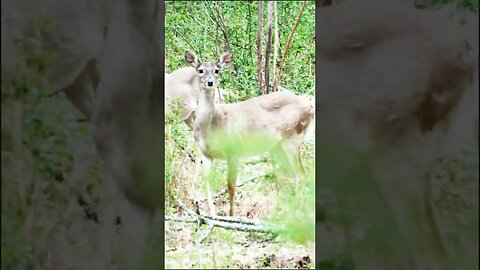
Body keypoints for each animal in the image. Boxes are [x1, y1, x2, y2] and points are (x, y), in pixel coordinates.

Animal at [184, 50, 316, 215]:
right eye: (201, 70)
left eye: (217, 70)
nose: (210, 82)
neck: (212, 125)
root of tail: (310, 106)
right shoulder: (206, 153)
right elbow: (207, 181)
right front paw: (212, 214)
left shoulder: (234, 149)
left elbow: (231, 186)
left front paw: (231, 216)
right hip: (277, 146)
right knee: (290, 175)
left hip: (293, 137)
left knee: (301, 174)